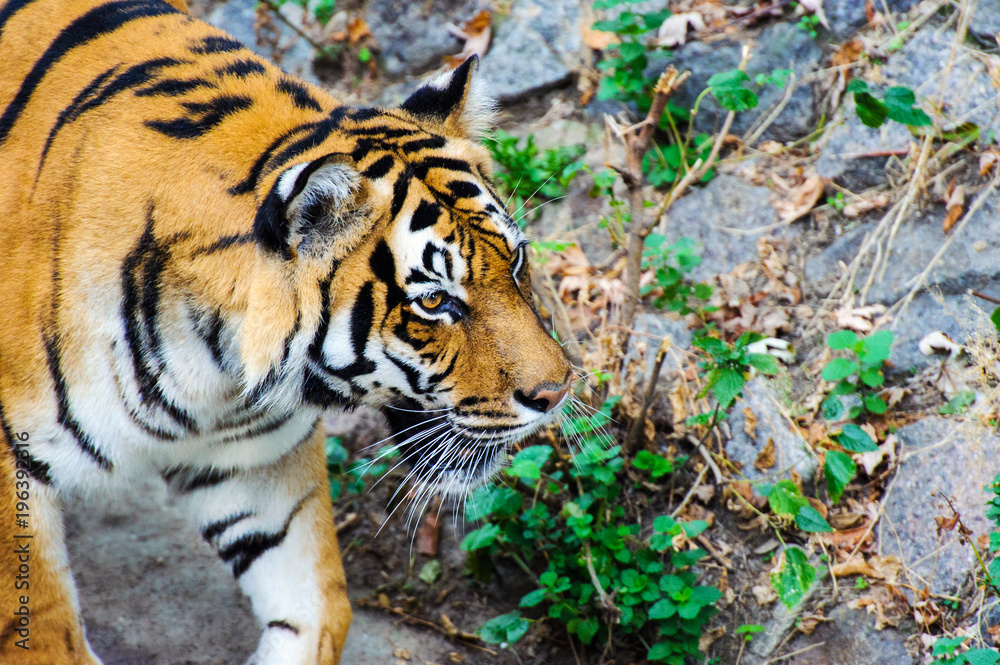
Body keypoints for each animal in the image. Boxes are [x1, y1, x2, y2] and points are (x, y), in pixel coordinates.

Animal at [0, 0, 573, 661]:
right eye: (434, 300)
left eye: (516, 260)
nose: (557, 392)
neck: (214, 369)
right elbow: (44, 630)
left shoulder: (255, 462)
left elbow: (321, 607)